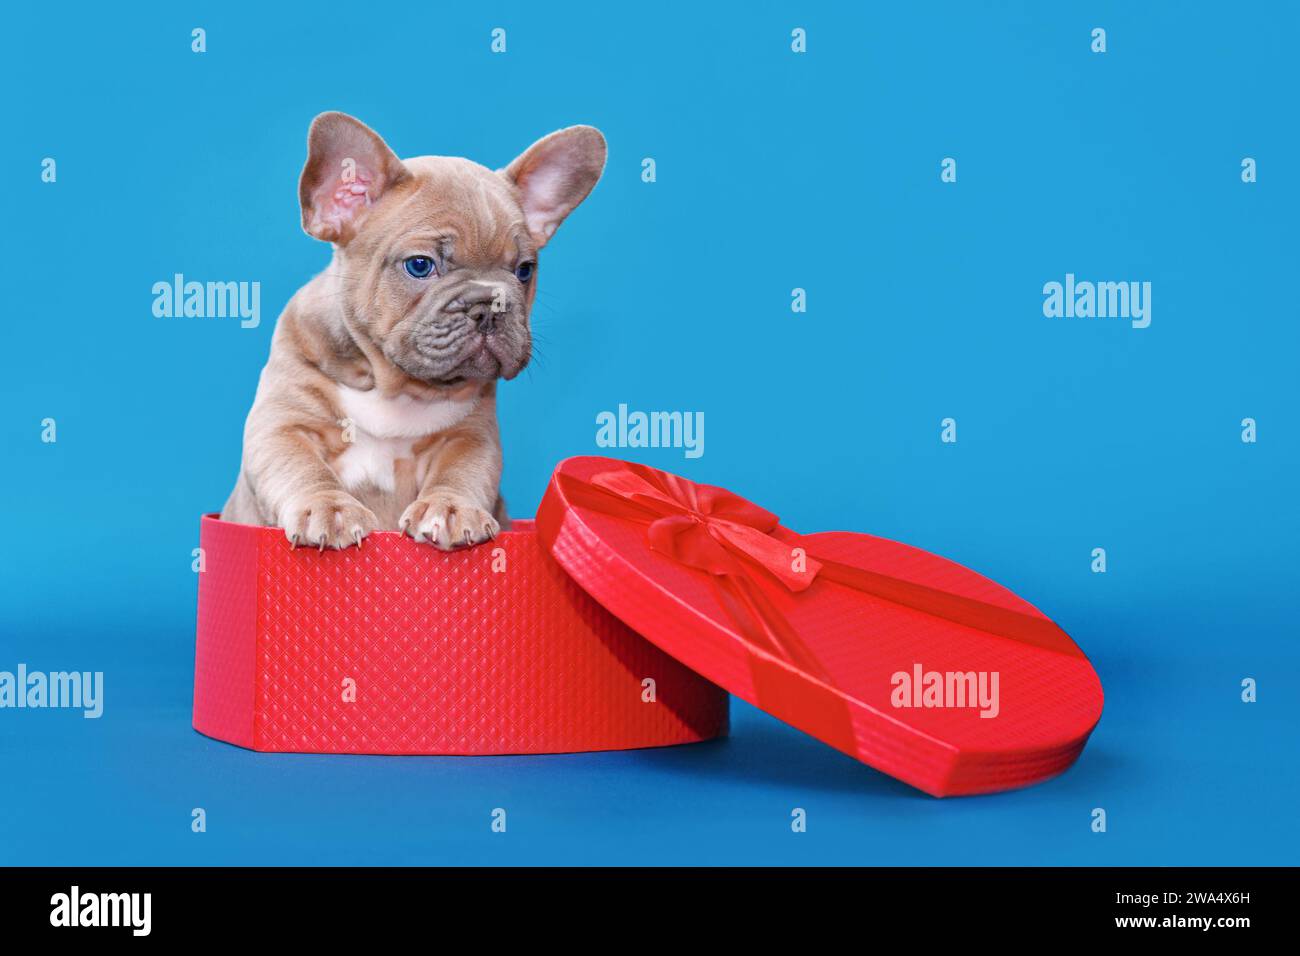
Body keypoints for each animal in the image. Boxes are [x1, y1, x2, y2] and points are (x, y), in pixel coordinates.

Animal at [222, 113, 603, 548]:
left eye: (524, 271)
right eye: (420, 265)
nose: (490, 304)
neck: (392, 385)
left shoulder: (470, 438)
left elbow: (461, 471)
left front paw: (451, 509)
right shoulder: (285, 424)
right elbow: (301, 466)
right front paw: (329, 507)